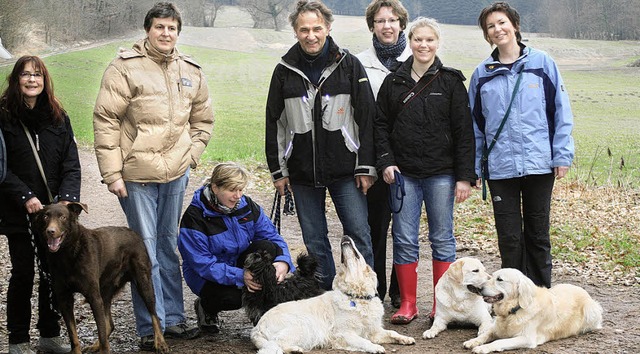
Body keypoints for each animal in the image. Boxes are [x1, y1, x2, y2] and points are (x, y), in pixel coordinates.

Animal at [35, 202, 168, 354]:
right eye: (45, 217)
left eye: (62, 217)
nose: (50, 231)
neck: (67, 254)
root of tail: (134, 232)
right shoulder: (64, 298)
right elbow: (73, 335)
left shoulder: (94, 297)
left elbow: (102, 333)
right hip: (105, 290)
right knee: (109, 324)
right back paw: (94, 345)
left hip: (143, 282)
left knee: (154, 314)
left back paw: (160, 342)